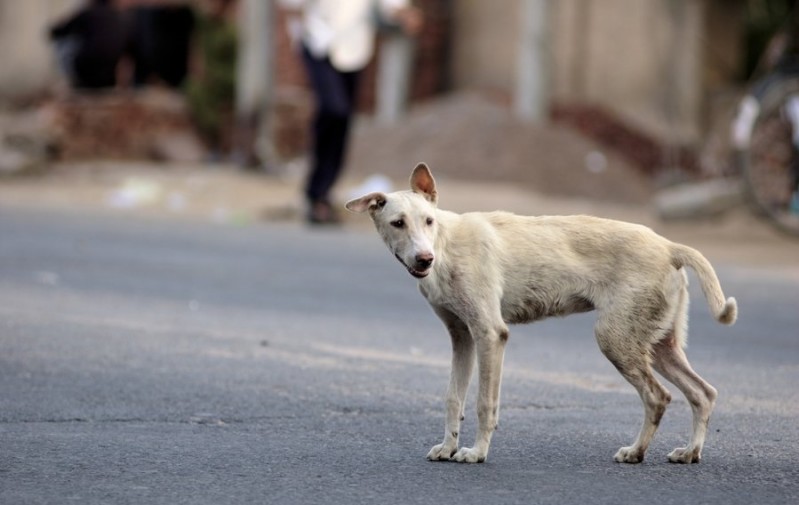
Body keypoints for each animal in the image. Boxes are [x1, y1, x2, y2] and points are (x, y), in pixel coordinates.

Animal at [346, 162, 736, 464]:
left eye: (428, 221)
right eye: (398, 223)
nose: (424, 259)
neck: (446, 243)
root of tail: (668, 245)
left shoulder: (491, 334)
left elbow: (485, 403)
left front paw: (477, 452)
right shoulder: (462, 337)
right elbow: (453, 398)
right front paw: (447, 447)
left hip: (616, 339)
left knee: (658, 397)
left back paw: (636, 452)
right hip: (658, 344)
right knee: (703, 393)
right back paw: (690, 452)